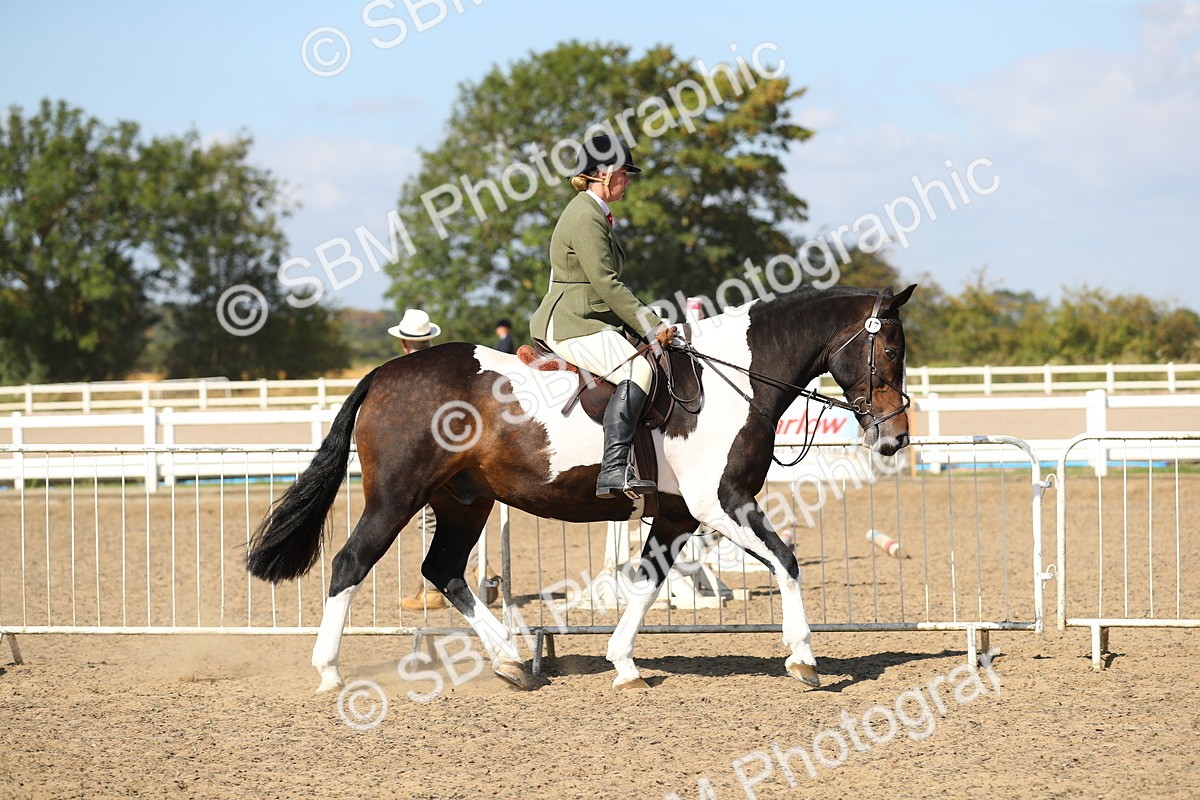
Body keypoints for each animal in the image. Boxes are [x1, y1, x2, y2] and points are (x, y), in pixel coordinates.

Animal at [246, 284, 916, 692]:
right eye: (890, 350)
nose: (896, 438)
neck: (737, 381)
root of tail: (385, 373)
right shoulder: (721, 503)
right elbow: (786, 560)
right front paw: (803, 658)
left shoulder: (679, 515)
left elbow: (646, 581)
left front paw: (623, 664)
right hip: (395, 499)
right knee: (350, 563)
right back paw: (329, 672)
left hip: (464, 501)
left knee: (445, 571)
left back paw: (511, 661)